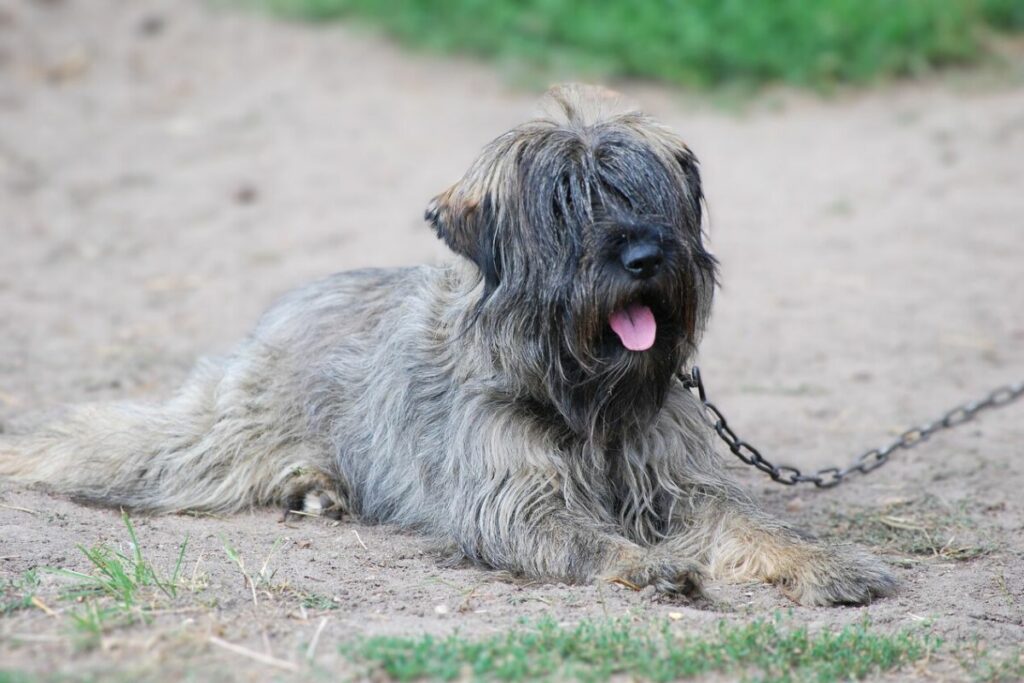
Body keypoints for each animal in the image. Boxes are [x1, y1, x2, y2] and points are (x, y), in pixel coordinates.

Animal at [0, 83, 897, 602]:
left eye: (652, 195)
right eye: (567, 205)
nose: (646, 255)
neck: (585, 400)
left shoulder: (681, 485)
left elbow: (751, 525)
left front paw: (826, 563)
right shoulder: (513, 501)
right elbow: (581, 535)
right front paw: (642, 563)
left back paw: (318, 489)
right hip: (210, 438)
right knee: (112, 442)